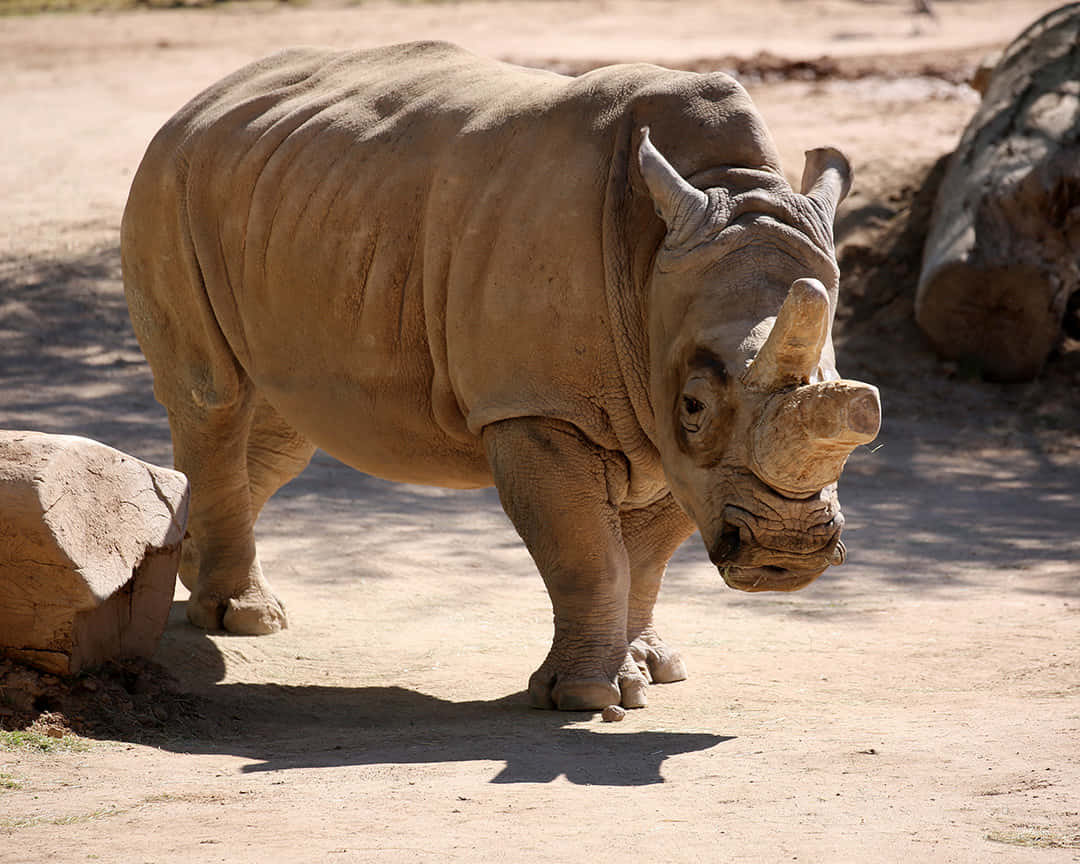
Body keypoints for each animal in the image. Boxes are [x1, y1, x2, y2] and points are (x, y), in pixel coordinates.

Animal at [122, 42, 880, 711]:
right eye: (695, 405)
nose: (787, 555)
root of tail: (203, 99)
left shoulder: (664, 423)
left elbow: (647, 557)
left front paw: (652, 668)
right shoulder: (538, 406)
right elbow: (587, 552)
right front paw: (586, 697)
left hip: (290, 199)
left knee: (282, 432)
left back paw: (197, 571)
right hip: (169, 179)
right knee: (213, 397)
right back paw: (245, 618)